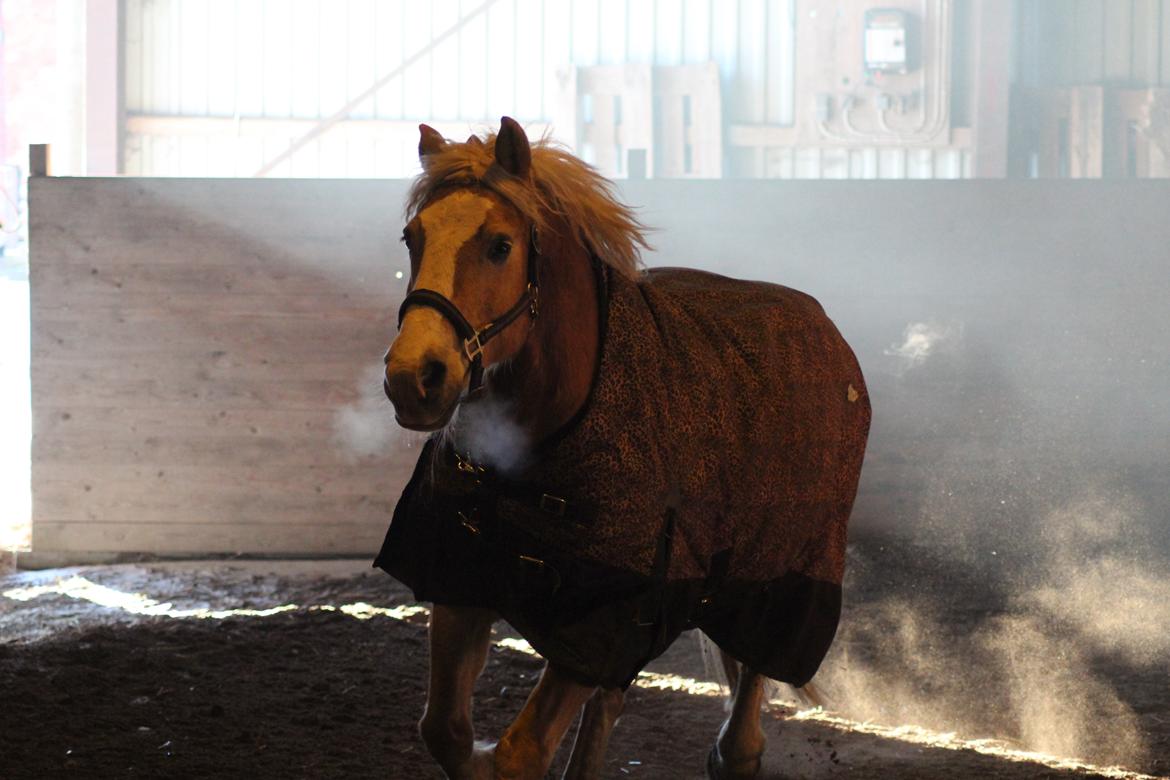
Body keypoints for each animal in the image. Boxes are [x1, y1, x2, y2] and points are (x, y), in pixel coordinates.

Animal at [374, 117, 870, 780]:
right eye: (413, 238)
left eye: (499, 245)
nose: (413, 378)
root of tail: (827, 329)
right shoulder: (461, 579)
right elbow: (446, 732)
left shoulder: (602, 620)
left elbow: (516, 755)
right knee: (612, 703)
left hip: (776, 574)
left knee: (746, 700)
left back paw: (736, 748)